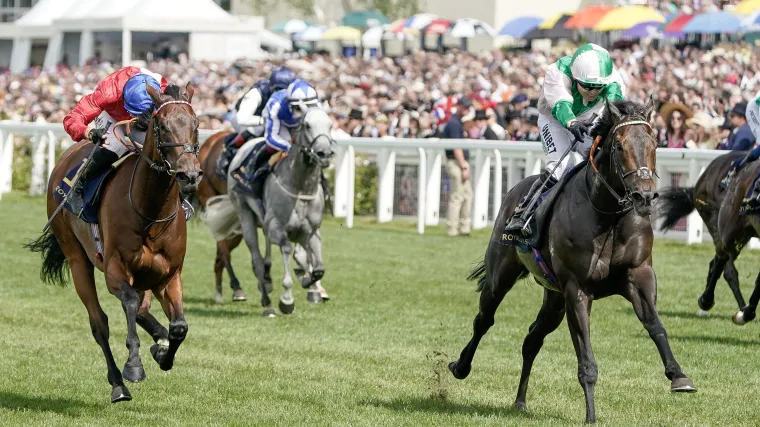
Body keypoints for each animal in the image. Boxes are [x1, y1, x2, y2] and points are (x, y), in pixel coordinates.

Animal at [26, 83, 202, 404]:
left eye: (195, 124)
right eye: (162, 126)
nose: (190, 174)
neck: (151, 213)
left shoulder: (170, 274)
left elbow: (179, 327)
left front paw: (164, 353)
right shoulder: (115, 270)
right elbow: (129, 303)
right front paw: (134, 365)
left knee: (145, 312)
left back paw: (158, 342)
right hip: (77, 259)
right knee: (100, 324)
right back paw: (118, 383)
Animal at [226, 105, 332, 316]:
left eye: (330, 124)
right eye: (307, 125)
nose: (324, 153)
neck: (301, 187)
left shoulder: (311, 231)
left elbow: (317, 268)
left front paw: (309, 284)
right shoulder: (276, 228)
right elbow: (287, 249)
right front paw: (287, 300)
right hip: (244, 212)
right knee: (257, 259)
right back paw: (267, 302)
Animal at [452, 99, 696, 424]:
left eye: (654, 143)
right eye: (619, 146)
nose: (644, 196)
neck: (609, 216)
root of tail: (515, 190)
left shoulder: (639, 275)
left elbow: (655, 325)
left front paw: (678, 376)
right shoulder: (577, 290)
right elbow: (587, 360)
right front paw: (591, 415)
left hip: (554, 299)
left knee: (532, 339)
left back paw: (520, 401)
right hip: (502, 274)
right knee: (484, 319)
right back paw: (460, 366)